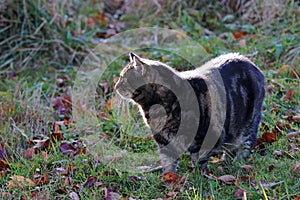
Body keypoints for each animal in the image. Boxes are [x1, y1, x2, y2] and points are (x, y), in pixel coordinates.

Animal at [113, 52, 264, 174]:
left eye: (123, 78)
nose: (115, 86)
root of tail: (252, 64)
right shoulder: (163, 140)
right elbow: (168, 161)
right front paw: (168, 178)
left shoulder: (205, 135)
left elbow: (199, 159)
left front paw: (198, 176)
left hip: (248, 125)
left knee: (246, 144)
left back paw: (237, 162)